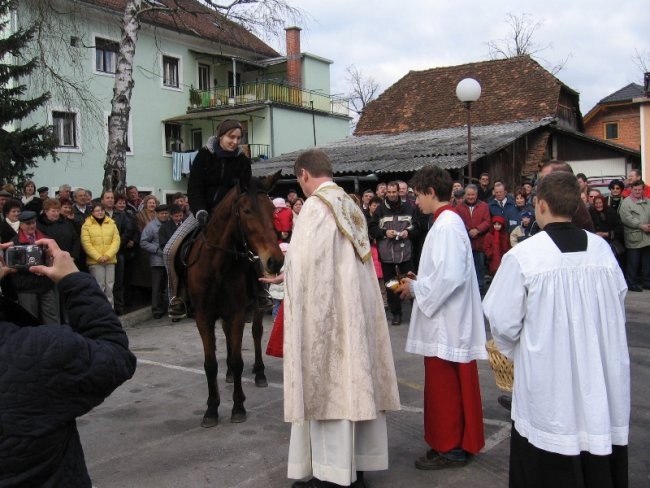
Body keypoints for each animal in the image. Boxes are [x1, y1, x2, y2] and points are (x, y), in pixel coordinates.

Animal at [185, 173, 280, 428]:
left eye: (272, 211)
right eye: (246, 211)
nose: (276, 260)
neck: (216, 266)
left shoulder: (236, 314)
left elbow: (238, 361)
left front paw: (238, 407)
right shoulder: (203, 317)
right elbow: (210, 364)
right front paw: (211, 409)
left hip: (255, 308)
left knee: (256, 333)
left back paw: (259, 373)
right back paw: (227, 373)